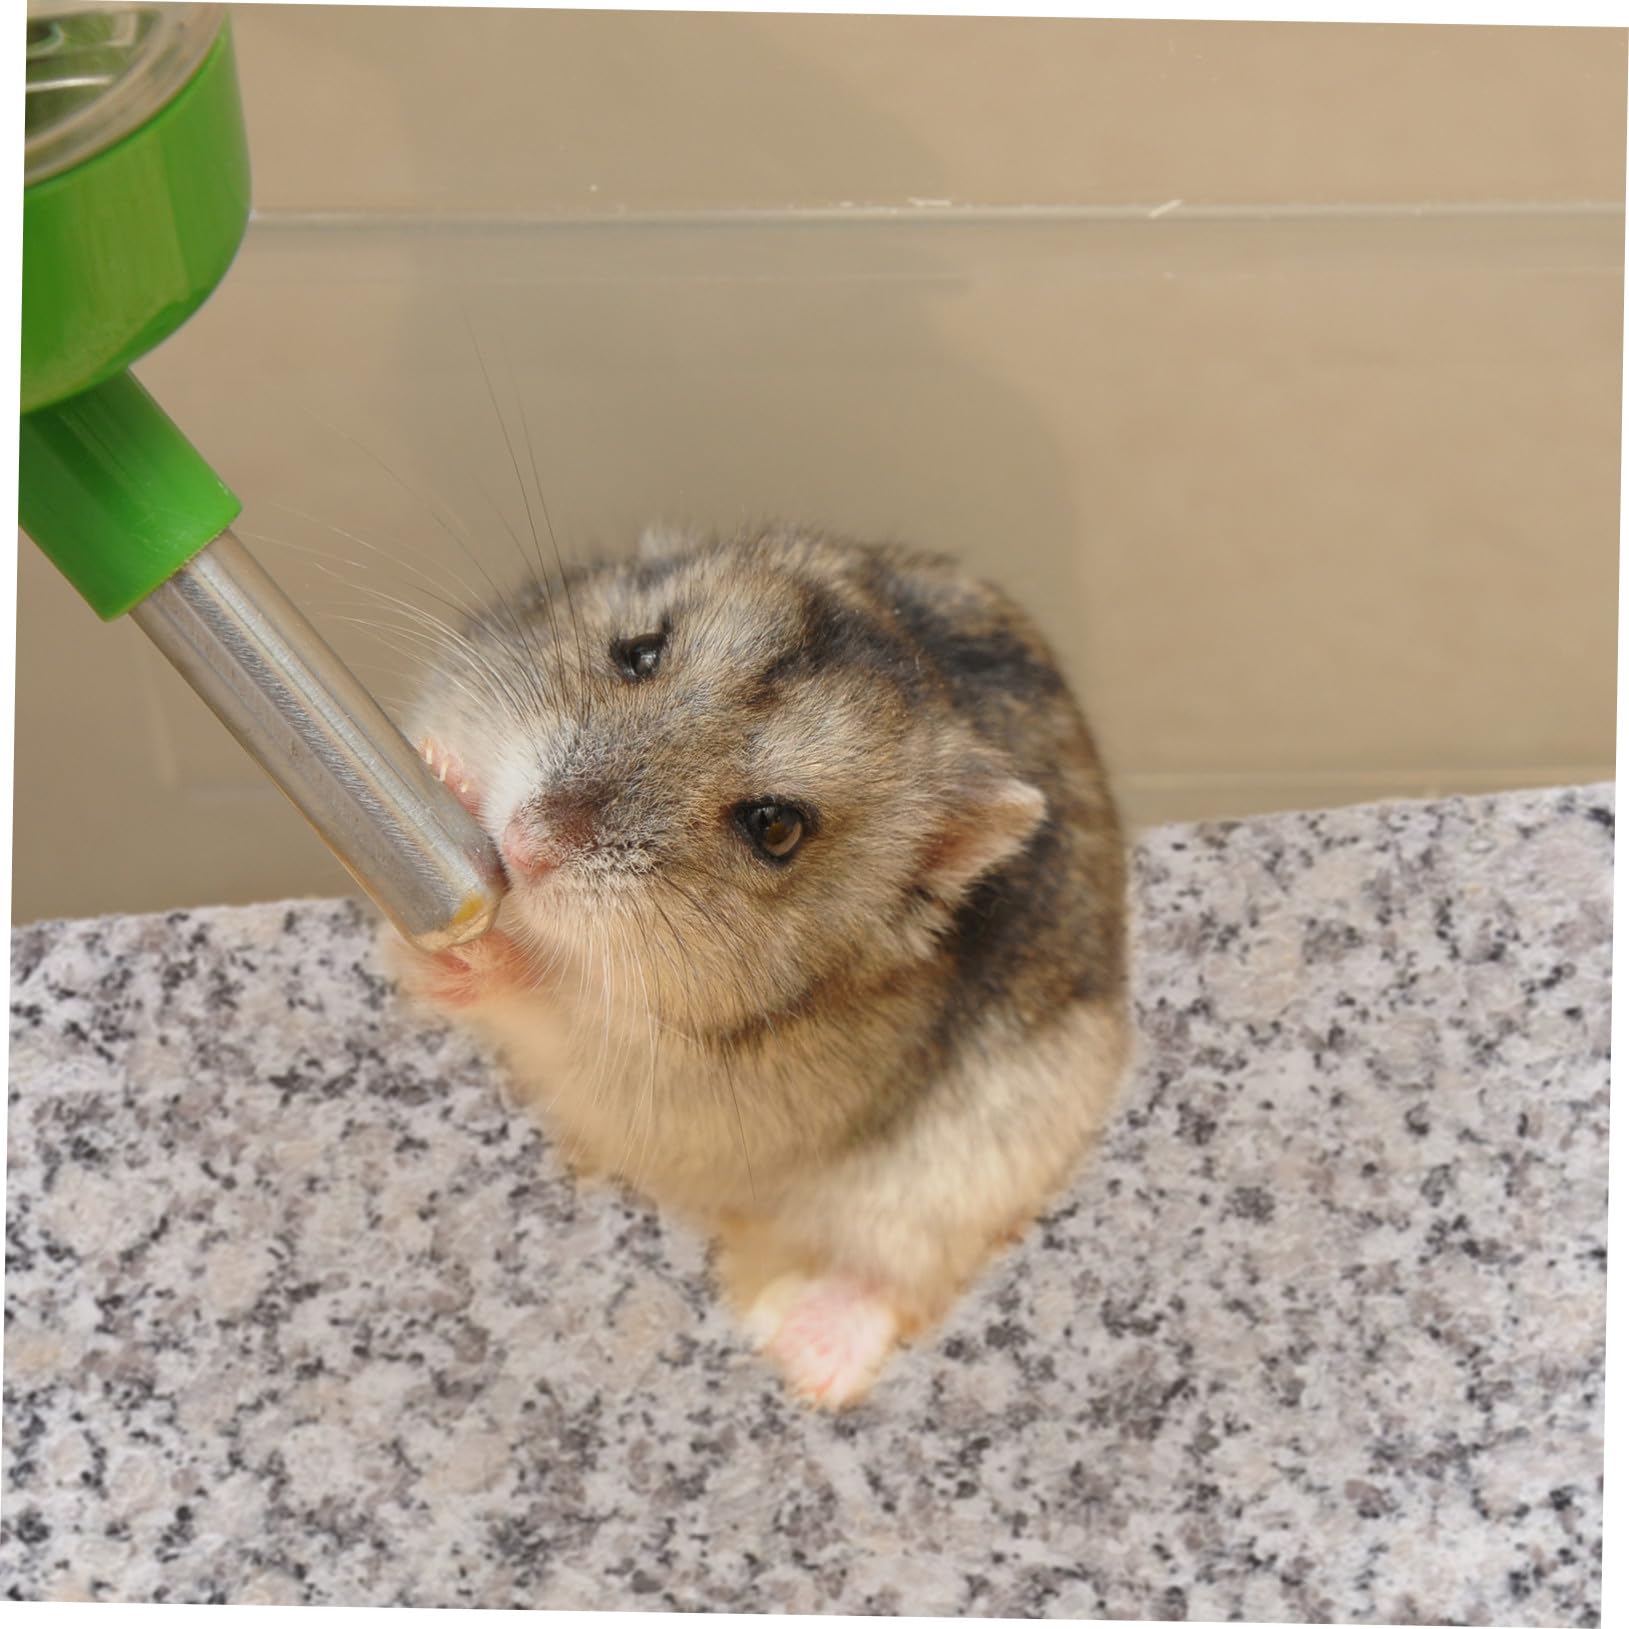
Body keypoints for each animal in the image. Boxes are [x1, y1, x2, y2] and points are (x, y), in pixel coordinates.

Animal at [387, 523, 1130, 1407]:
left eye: (775, 827)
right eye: (639, 651)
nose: (526, 845)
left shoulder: (668, 1077)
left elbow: (556, 999)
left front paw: (492, 952)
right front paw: (444, 769)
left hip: (969, 1172)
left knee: (895, 1273)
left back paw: (797, 1354)